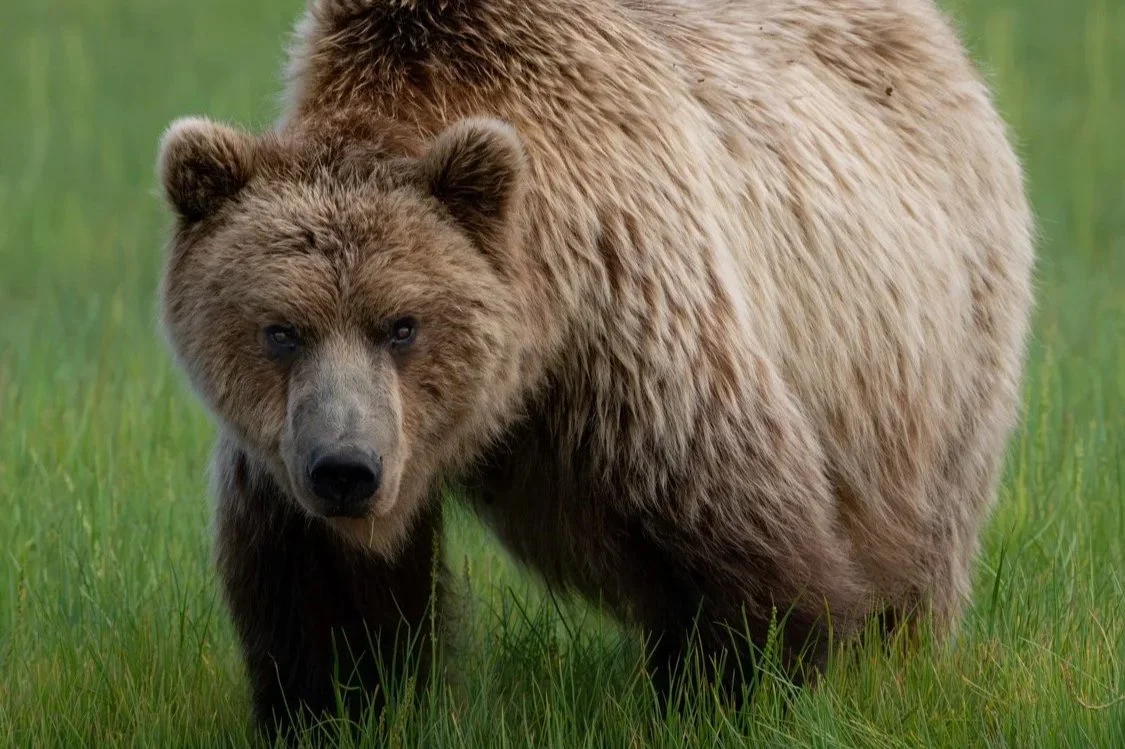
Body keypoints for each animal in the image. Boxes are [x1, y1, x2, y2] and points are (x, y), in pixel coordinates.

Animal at [156, 0, 1035, 739]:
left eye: (402, 324)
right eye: (280, 330)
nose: (346, 468)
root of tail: (939, 40)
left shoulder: (635, 331)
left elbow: (741, 544)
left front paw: (730, 698)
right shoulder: (285, 451)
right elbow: (321, 596)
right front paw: (343, 708)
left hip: (930, 349)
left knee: (917, 546)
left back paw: (893, 656)